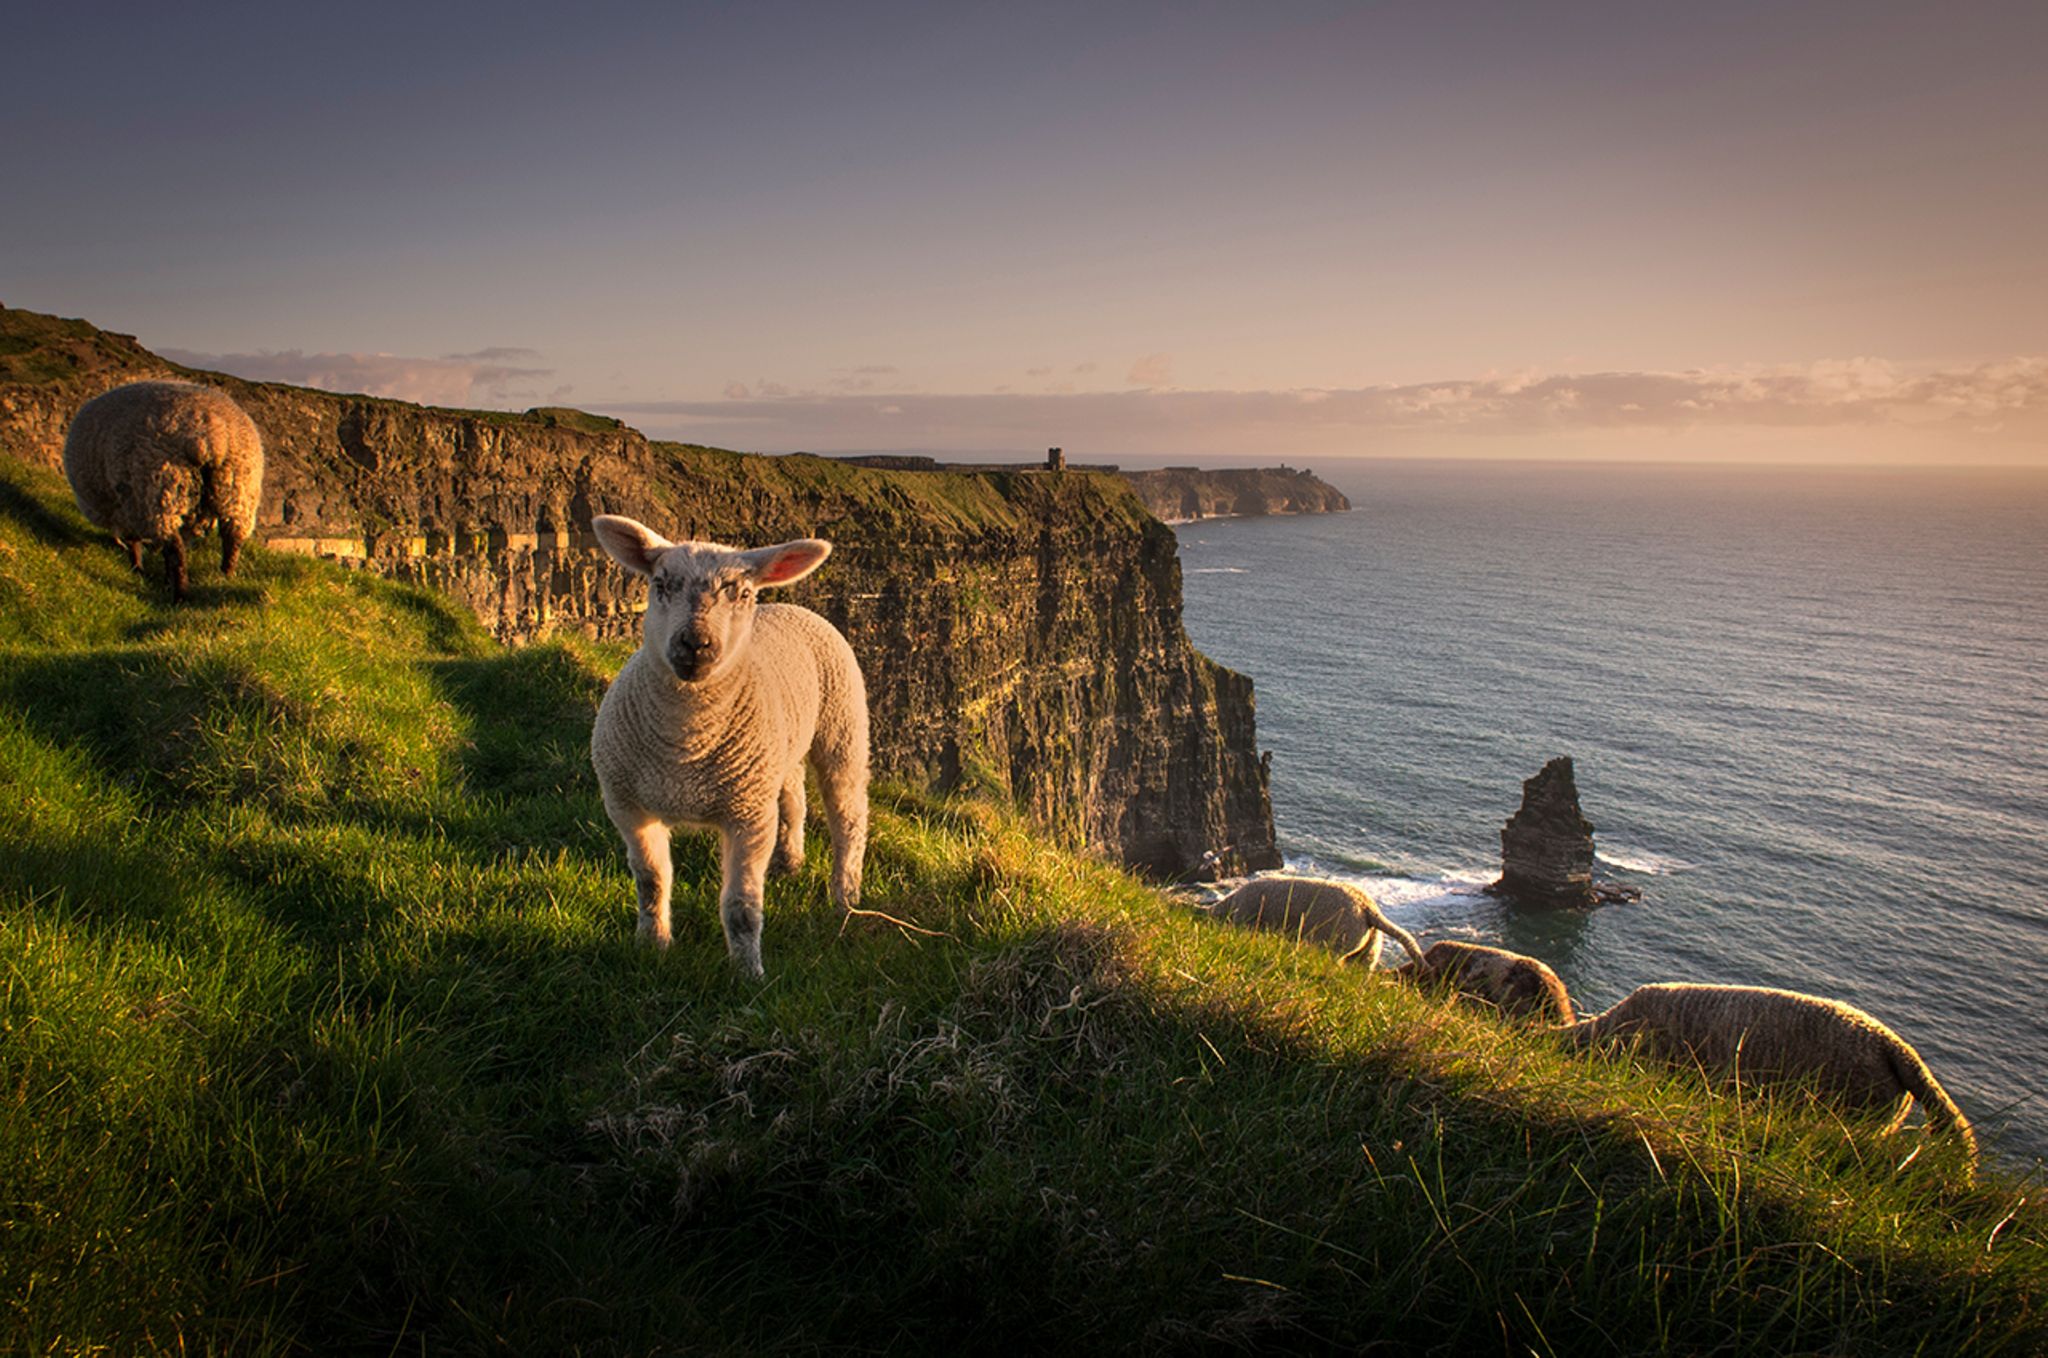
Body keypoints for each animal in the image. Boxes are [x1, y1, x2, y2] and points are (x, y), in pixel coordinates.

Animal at [61, 376, 262, 602]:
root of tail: (210, 433)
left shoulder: (128, 506)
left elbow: (134, 540)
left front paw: (137, 567)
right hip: (238, 489)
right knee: (231, 539)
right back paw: (225, 577)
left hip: (160, 489)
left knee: (174, 549)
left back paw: (180, 594)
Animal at [589, 512, 868, 979]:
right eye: (660, 583)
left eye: (743, 593)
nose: (695, 644)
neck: (685, 745)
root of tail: (789, 605)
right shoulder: (628, 807)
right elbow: (651, 880)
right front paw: (652, 944)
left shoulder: (748, 818)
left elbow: (741, 906)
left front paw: (748, 974)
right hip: (776, 754)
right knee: (793, 799)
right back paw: (789, 861)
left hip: (843, 727)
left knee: (848, 816)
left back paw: (845, 897)